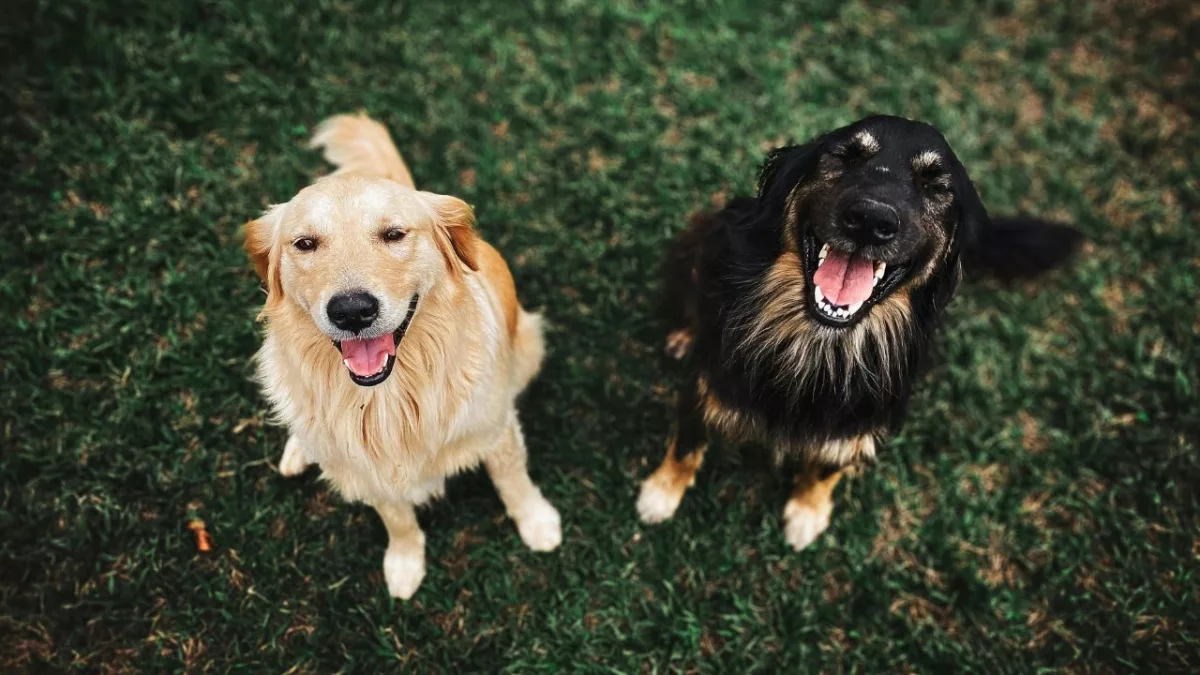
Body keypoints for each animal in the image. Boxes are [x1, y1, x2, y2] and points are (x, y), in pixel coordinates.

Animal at [246, 112, 564, 595]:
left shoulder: (496, 429)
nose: (352, 310)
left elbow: (514, 481)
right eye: (304, 244)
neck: (387, 399)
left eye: (394, 234)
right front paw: (404, 563)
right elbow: (397, 519)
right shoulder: (371, 472)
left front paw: (537, 523)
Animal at [643, 115, 1084, 547]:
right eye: (847, 156)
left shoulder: (860, 421)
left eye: (934, 185)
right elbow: (686, 444)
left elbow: (827, 466)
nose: (871, 220)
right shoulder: (707, 382)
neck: (819, 341)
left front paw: (807, 513)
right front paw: (660, 495)